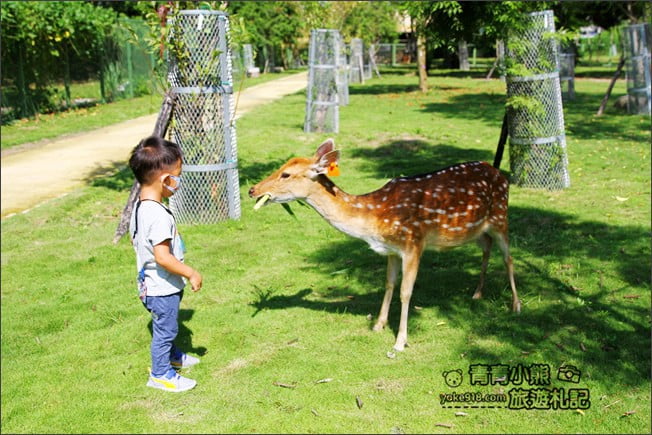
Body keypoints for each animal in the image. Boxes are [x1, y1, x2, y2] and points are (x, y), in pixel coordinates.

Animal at [248, 138, 520, 352]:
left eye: (286, 174)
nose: (252, 189)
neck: (375, 220)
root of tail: (500, 174)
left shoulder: (413, 243)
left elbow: (405, 291)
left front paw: (400, 342)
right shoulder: (391, 250)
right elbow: (389, 283)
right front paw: (378, 325)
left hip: (500, 216)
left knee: (508, 257)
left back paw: (516, 306)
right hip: (476, 229)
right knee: (486, 246)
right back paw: (477, 293)